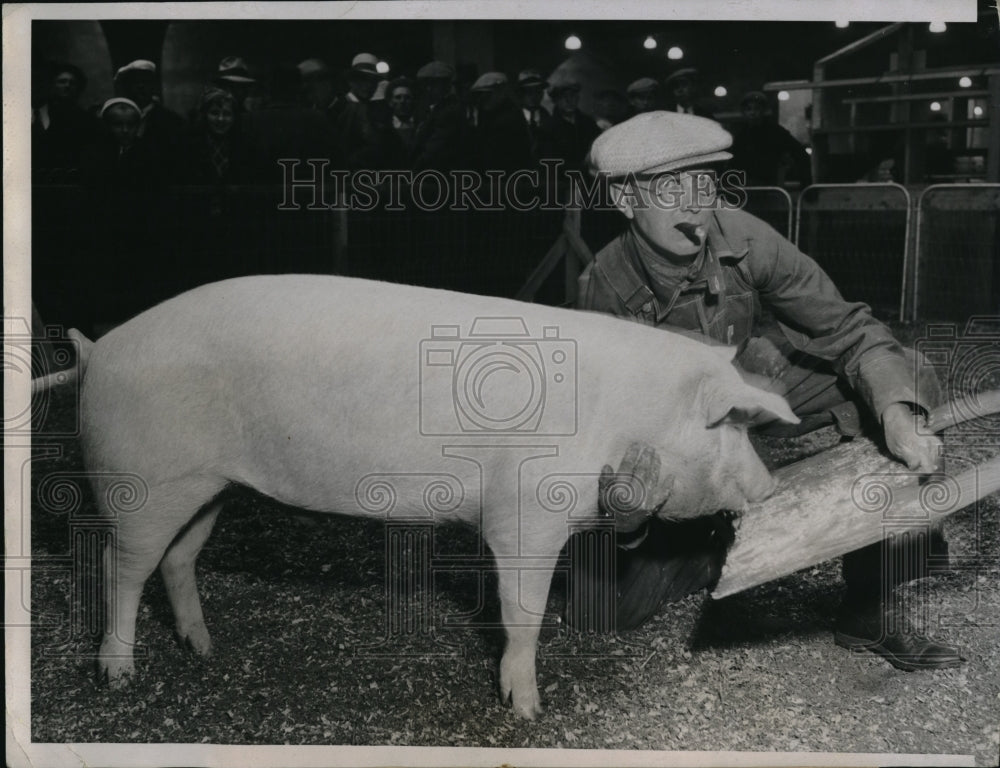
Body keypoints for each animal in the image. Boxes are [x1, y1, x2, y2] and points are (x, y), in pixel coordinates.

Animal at [80, 276, 796, 720]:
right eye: (731, 424)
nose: (772, 487)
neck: (632, 413)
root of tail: (98, 349)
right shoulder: (525, 514)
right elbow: (523, 613)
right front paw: (528, 711)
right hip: (141, 484)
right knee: (120, 567)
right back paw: (119, 676)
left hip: (210, 487)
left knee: (178, 559)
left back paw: (205, 649)